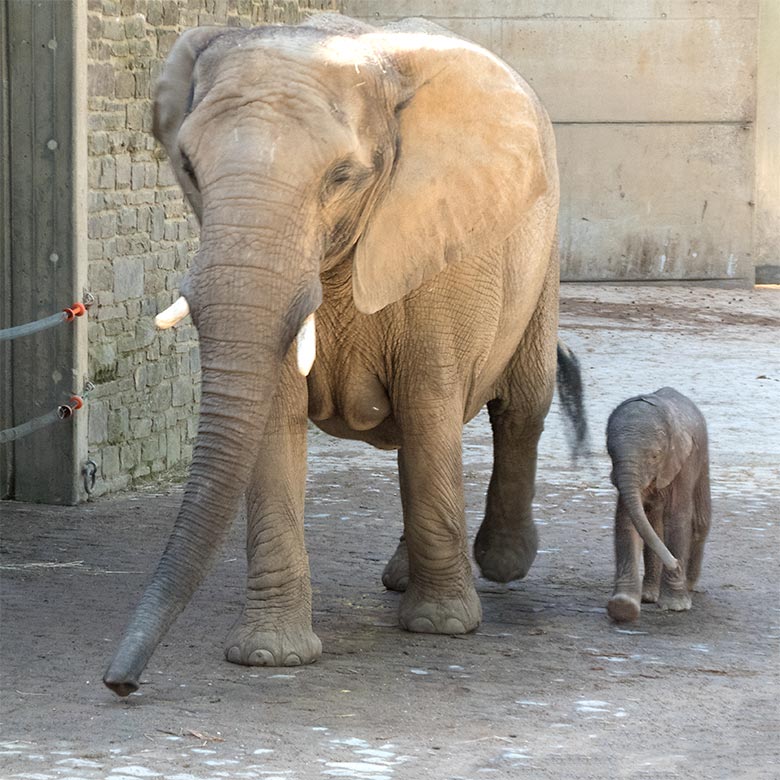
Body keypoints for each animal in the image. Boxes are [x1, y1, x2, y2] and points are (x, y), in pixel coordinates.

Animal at [106, 13, 588, 696]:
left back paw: (499, 562)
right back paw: (404, 576)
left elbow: (431, 402)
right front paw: (270, 656)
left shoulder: (438, 242)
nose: (120, 684)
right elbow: (274, 422)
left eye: (341, 177)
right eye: (190, 168)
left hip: (540, 258)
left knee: (518, 406)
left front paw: (442, 628)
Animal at [608, 388, 708, 620]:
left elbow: (677, 519)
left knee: (701, 520)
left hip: (703, 457)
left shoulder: (683, 462)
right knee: (655, 526)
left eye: (654, 456)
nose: (676, 565)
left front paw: (675, 606)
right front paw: (623, 606)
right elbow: (626, 521)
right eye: (610, 452)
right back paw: (648, 596)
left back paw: (689, 586)